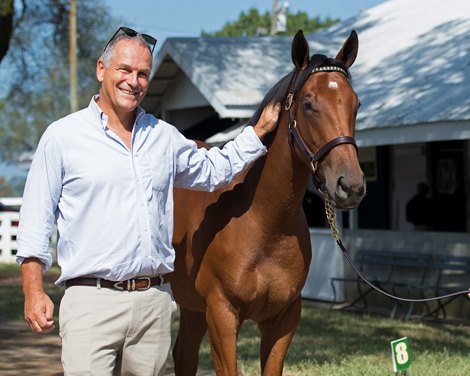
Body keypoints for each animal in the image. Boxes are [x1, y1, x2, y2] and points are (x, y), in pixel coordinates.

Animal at [167, 30, 366, 376]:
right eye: (307, 103)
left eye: (356, 103)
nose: (350, 185)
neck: (263, 223)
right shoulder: (222, 316)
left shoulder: (283, 320)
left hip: (192, 307)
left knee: (185, 356)